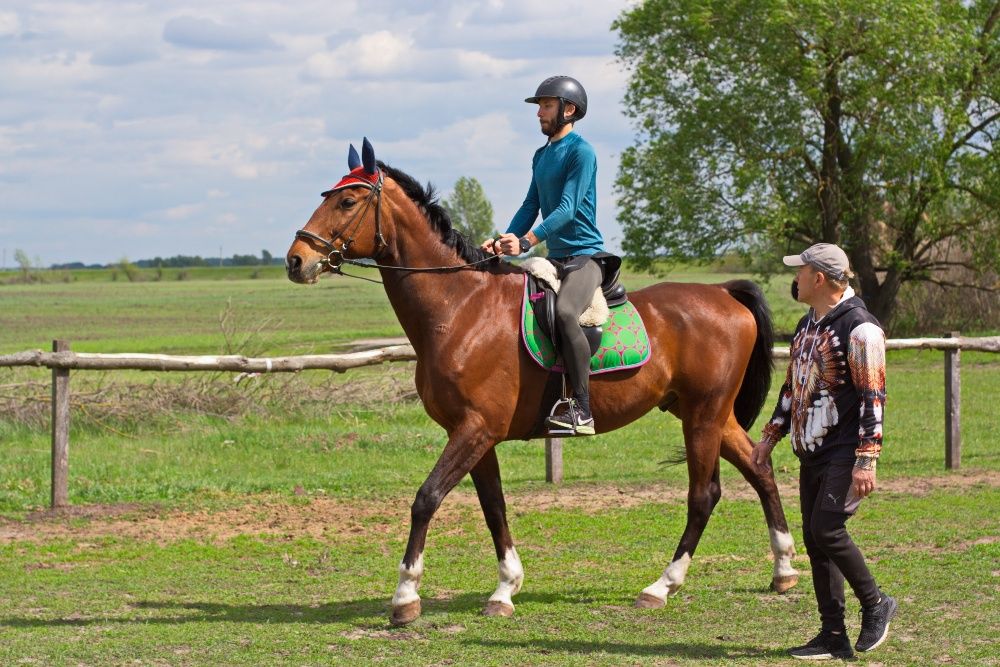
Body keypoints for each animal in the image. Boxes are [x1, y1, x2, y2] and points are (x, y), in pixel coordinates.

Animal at [286, 140, 800, 628]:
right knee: (759, 469)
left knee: (703, 495)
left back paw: (662, 585)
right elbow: (494, 506)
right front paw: (505, 589)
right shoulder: (474, 434)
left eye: (348, 201)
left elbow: (425, 499)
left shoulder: (474, 430)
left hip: (702, 415)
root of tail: (724, 293)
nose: (296, 260)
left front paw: (406, 597)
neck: (460, 307)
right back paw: (783, 570)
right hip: (707, 413)